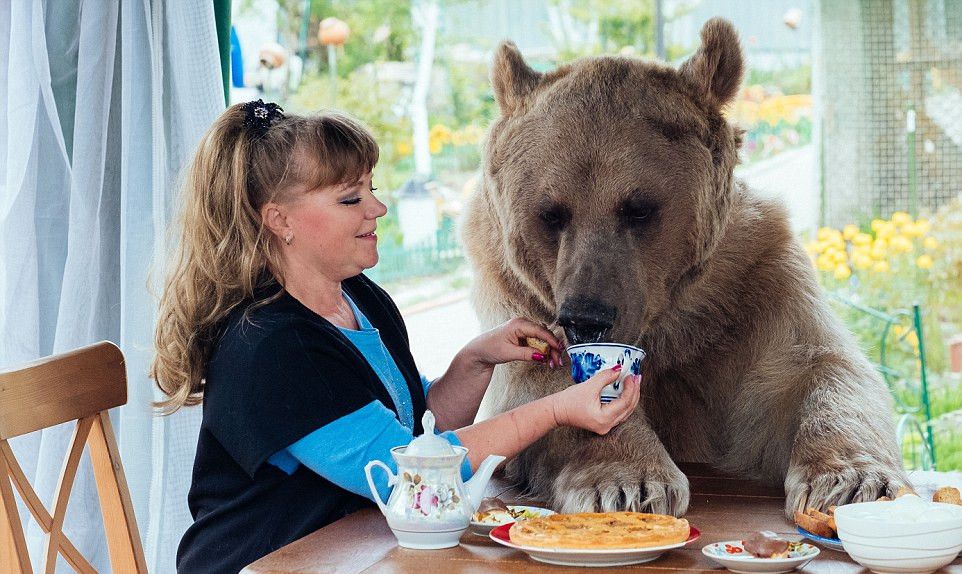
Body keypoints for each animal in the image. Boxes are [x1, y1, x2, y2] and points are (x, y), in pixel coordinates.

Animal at [462, 19, 904, 520]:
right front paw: (626, 481)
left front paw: (851, 481)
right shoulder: (516, 291)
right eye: (551, 213)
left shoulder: (752, 281)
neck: (666, 321)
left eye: (638, 207)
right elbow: (539, 385)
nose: (586, 319)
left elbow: (818, 367)